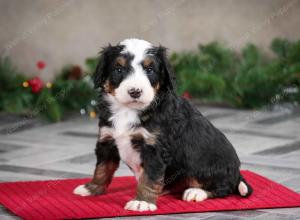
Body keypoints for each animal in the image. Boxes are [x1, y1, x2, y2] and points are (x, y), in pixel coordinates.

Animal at [73, 38, 253, 212]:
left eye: (150, 70)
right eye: (118, 69)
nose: (135, 91)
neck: (128, 110)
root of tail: (237, 172)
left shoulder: (155, 149)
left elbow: (149, 177)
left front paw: (142, 202)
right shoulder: (107, 139)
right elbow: (102, 168)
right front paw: (91, 188)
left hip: (206, 165)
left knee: (222, 188)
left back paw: (196, 192)